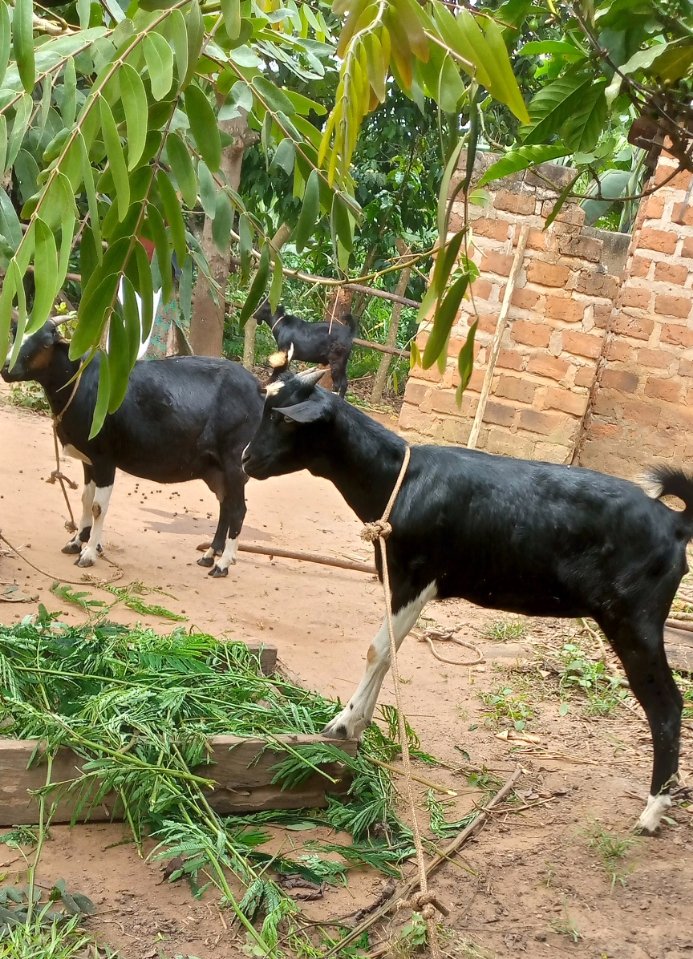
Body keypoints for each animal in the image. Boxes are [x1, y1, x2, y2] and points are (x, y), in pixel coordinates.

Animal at [2, 319, 263, 577]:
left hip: (235, 461)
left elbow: (98, 507)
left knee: (238, 510)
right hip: (215, 468)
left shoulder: (105, 458)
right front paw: (77, 541)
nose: (6, 368)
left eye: (46, 342)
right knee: (225, 505)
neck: (80, 382)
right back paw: (209, 556)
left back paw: (223, 564)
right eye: (15, 332)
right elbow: (86, 500)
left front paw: (89, 553)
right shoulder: (88, 460)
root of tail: (259, 390)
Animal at [242, 368, 693, 833]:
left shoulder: (415, 577)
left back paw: (653, 811)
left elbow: (378, 650)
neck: (401, 480)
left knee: (667, 705)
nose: (245, 460)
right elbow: (388, 652)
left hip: (635, 619)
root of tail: (676, 523)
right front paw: (357, 725)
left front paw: (343, 725)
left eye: (283, 419)